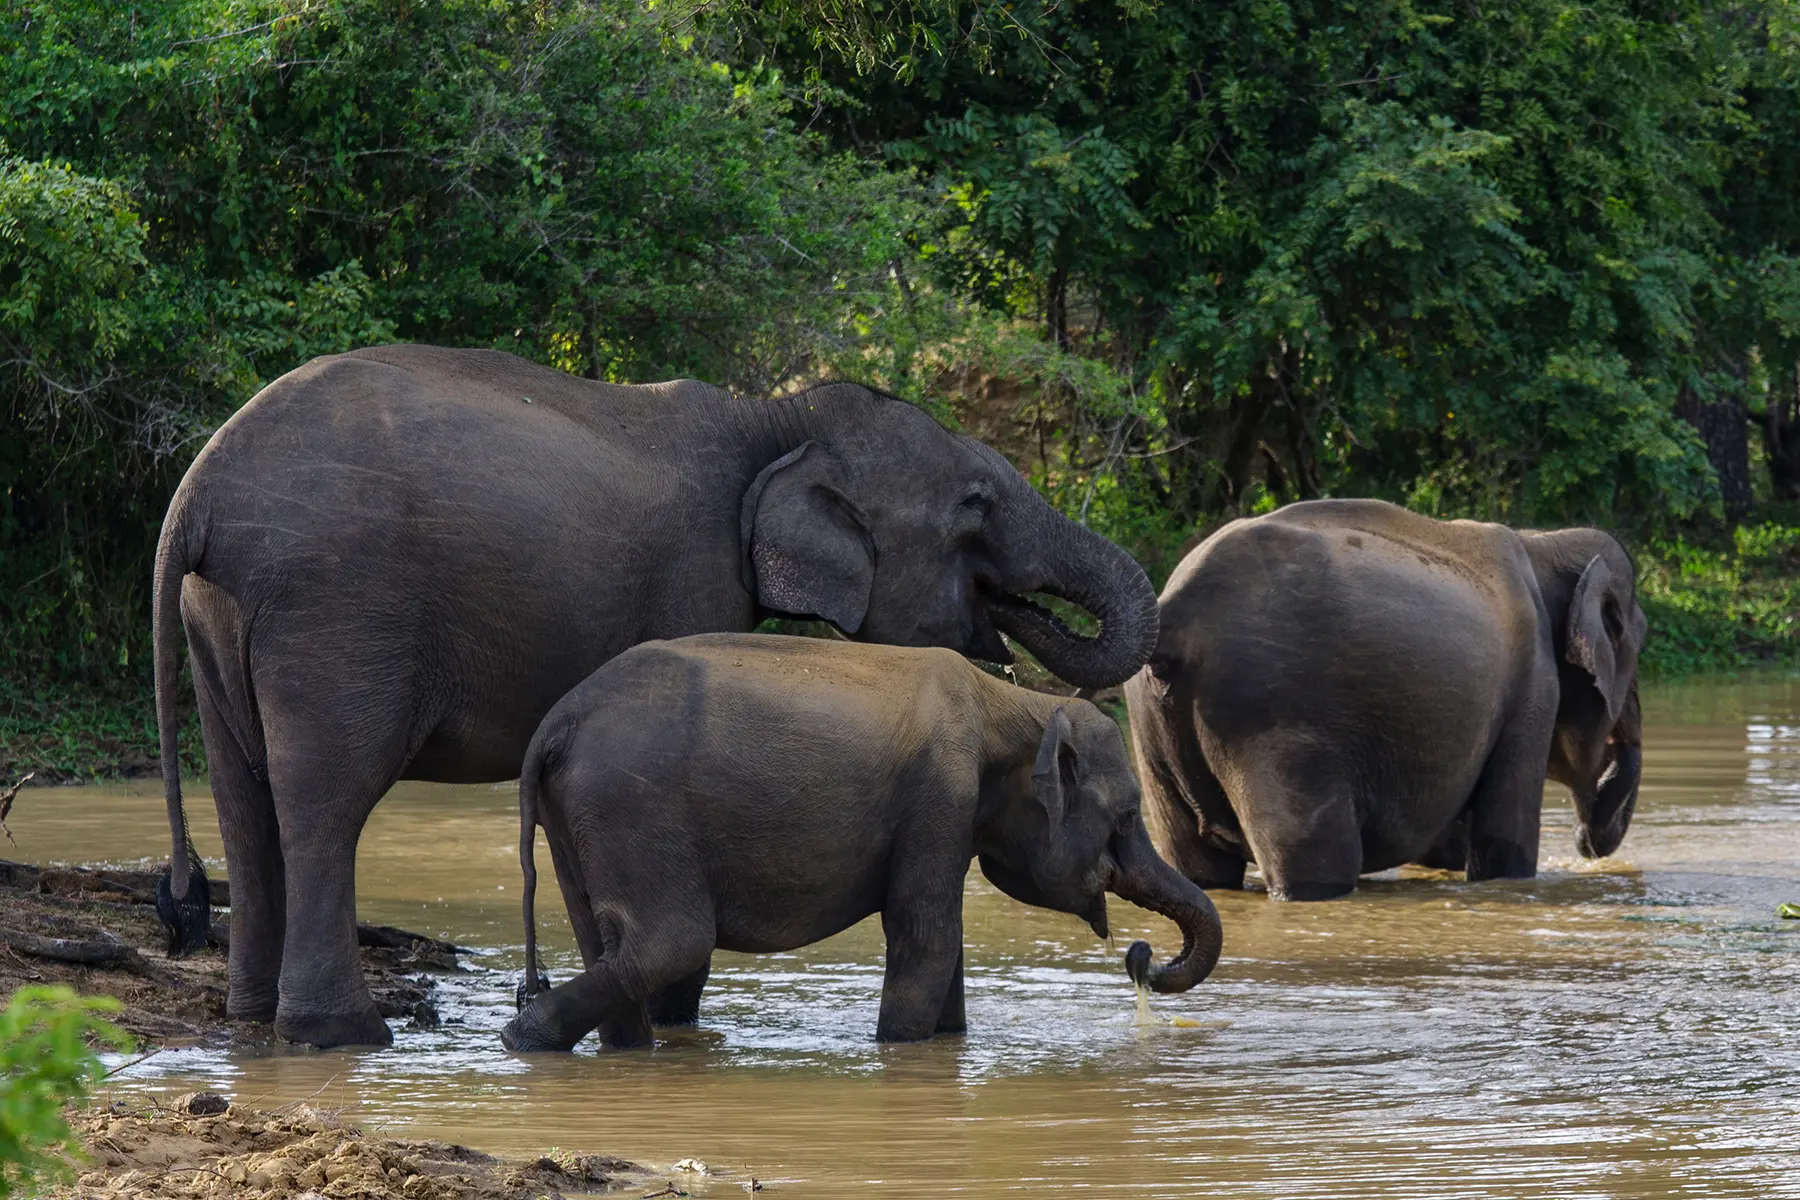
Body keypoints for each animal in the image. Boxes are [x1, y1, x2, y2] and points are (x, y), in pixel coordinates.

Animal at [500, 634, 1222, 1052]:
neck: (1011, 703)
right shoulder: (940, 794)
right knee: (672, 942)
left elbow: (944, 945)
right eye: (1126, 817)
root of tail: (557, 721)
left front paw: (948, 1041)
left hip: (580, 819)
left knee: (608, 943)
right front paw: (900, 1050)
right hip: (633, 807)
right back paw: (521, 1037)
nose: (1141, 955)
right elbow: (925, 937)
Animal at [1124, 498, 1646, 901]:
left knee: (1197, 868)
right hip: (1270, 723)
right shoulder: (1533, 684)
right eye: (1637, 645)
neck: (1543, 543)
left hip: (1152, 725)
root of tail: (1173, 613)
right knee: (1317, 863)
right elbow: (1502, 843)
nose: (1586, 843)